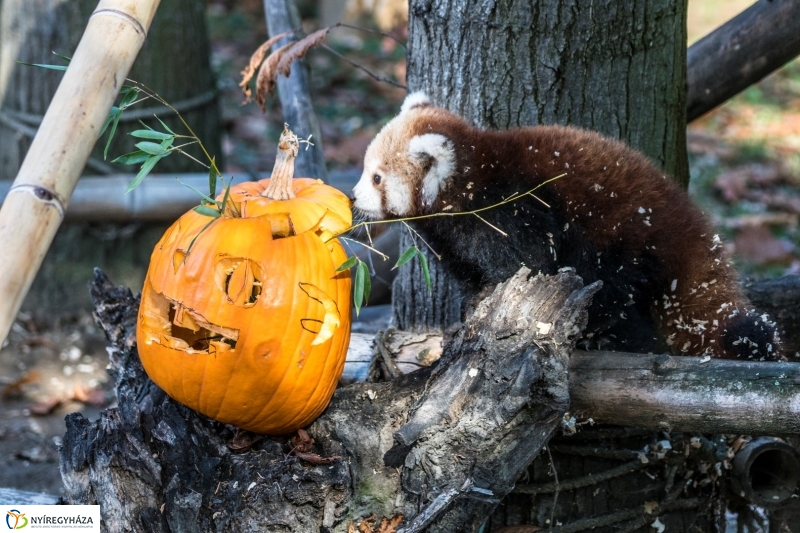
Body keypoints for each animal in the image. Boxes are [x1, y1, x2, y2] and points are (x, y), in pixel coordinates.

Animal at [352, 91, 780, 360]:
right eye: (365, 171)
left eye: (376, 178)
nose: (353, 199)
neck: (470, 182)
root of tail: (689, 223)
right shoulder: (454, 240)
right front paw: (471, 310)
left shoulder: (515, 213)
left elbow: (527, 264)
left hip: (624, 240)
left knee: (614, 294)